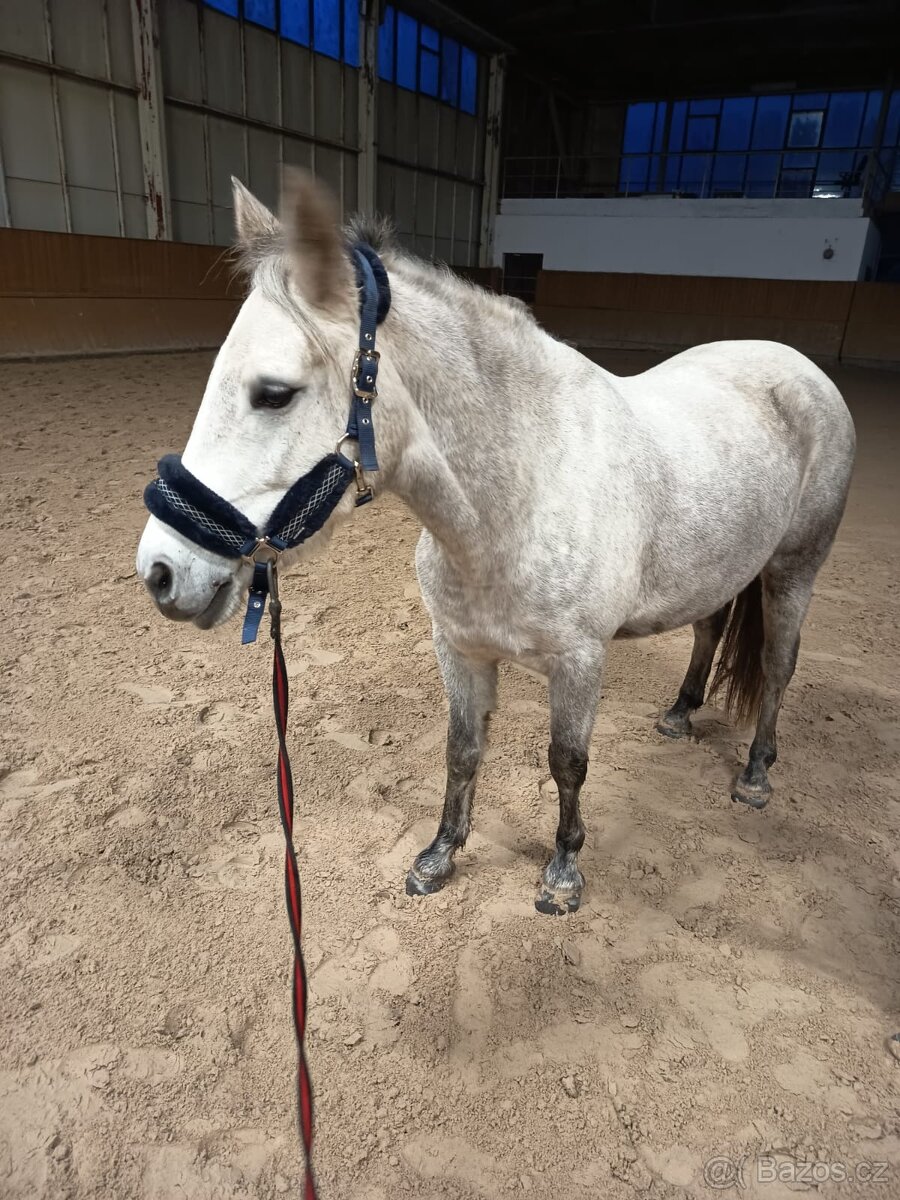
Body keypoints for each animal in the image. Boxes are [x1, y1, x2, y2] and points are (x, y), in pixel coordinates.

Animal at [136, 170, 856, 916]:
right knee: (709, 630)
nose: (160, 571)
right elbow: (463, 750)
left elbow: (567, 763)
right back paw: (681, 714)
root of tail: (796, 366)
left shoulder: (580, 663)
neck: (517, 498)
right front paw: (438, 856)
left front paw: (562, 874)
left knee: (777, 667)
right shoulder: (460, 649)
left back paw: (755, 775)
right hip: (721, 569)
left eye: (274, 393)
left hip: (794, 570)